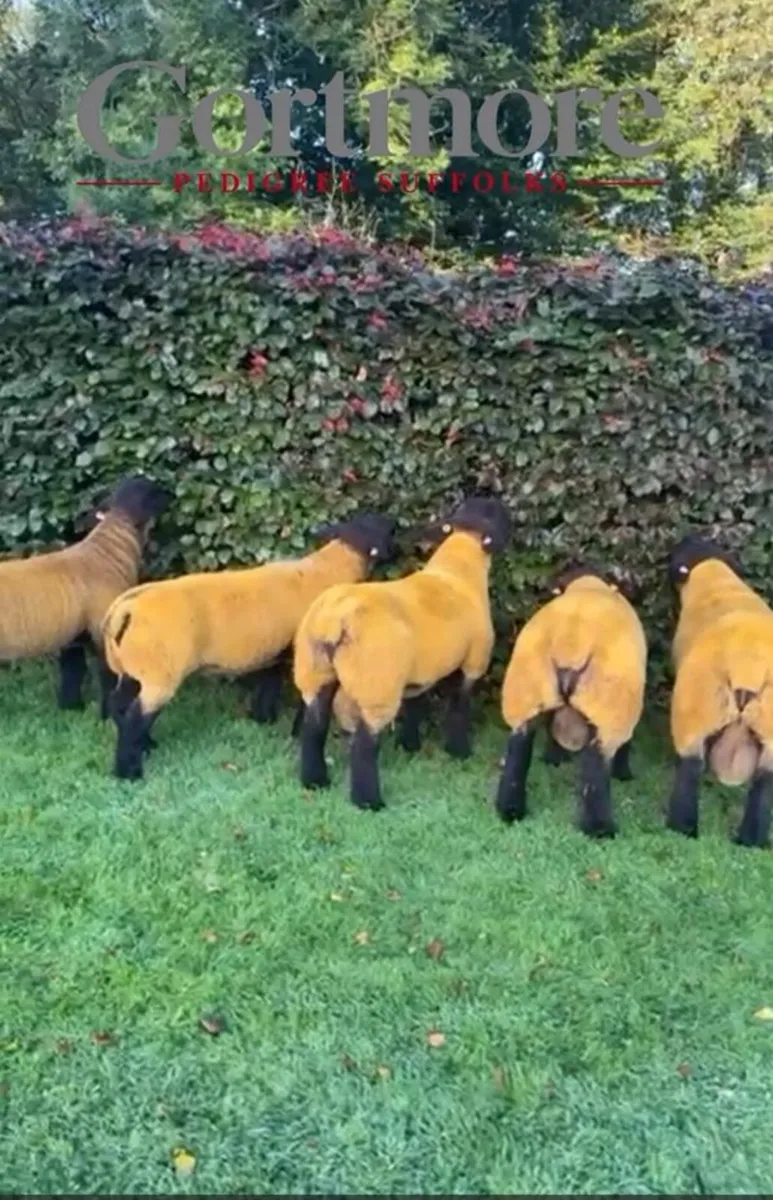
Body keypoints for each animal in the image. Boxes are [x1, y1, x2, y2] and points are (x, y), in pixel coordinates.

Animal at [0, 475, 171, 716]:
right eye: (153, 491)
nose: (171, 495)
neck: (107, 552)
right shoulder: (102, 628)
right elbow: (107, 677)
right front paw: (106, 716)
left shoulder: (74, 636)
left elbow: (73, 672)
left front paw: (71, 709)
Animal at [101, 511, 398, 781]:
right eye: (386, 527)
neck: (329, 568)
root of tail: (126, 607)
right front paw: (294, 731)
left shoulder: (272, 653)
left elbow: (268, 686)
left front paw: (263, 720)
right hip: (160, 674)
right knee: (134, 718)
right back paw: (129, 771)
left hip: (132, 669)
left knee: (120, 705)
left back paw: (146, 746)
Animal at [293, 495, 512, 811]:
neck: (459, 572)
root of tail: (335, 619)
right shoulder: (473, 663)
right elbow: (459, 708)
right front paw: (459, 751)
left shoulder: (421, 672)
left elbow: (416, 706)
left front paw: (410, 746)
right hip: (377, 685)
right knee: (365, 746)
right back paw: (369, 802)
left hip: (315, 671)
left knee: (314, 728)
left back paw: (315, 781)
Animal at [495, 562, 647, 838]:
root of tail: (571, 642)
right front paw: (624, 774)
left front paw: (554, 759)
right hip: (610, 708)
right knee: (596, 770)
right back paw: (601, 828)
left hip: (526, 695)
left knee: (518, 749)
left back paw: (510, 809)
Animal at [665, 532, 773, 849]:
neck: (713, 578)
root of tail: (748, 667)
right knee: (763, 785)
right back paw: (751, 839)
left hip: (694, 711)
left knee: (689, 771)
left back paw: (682, 827)